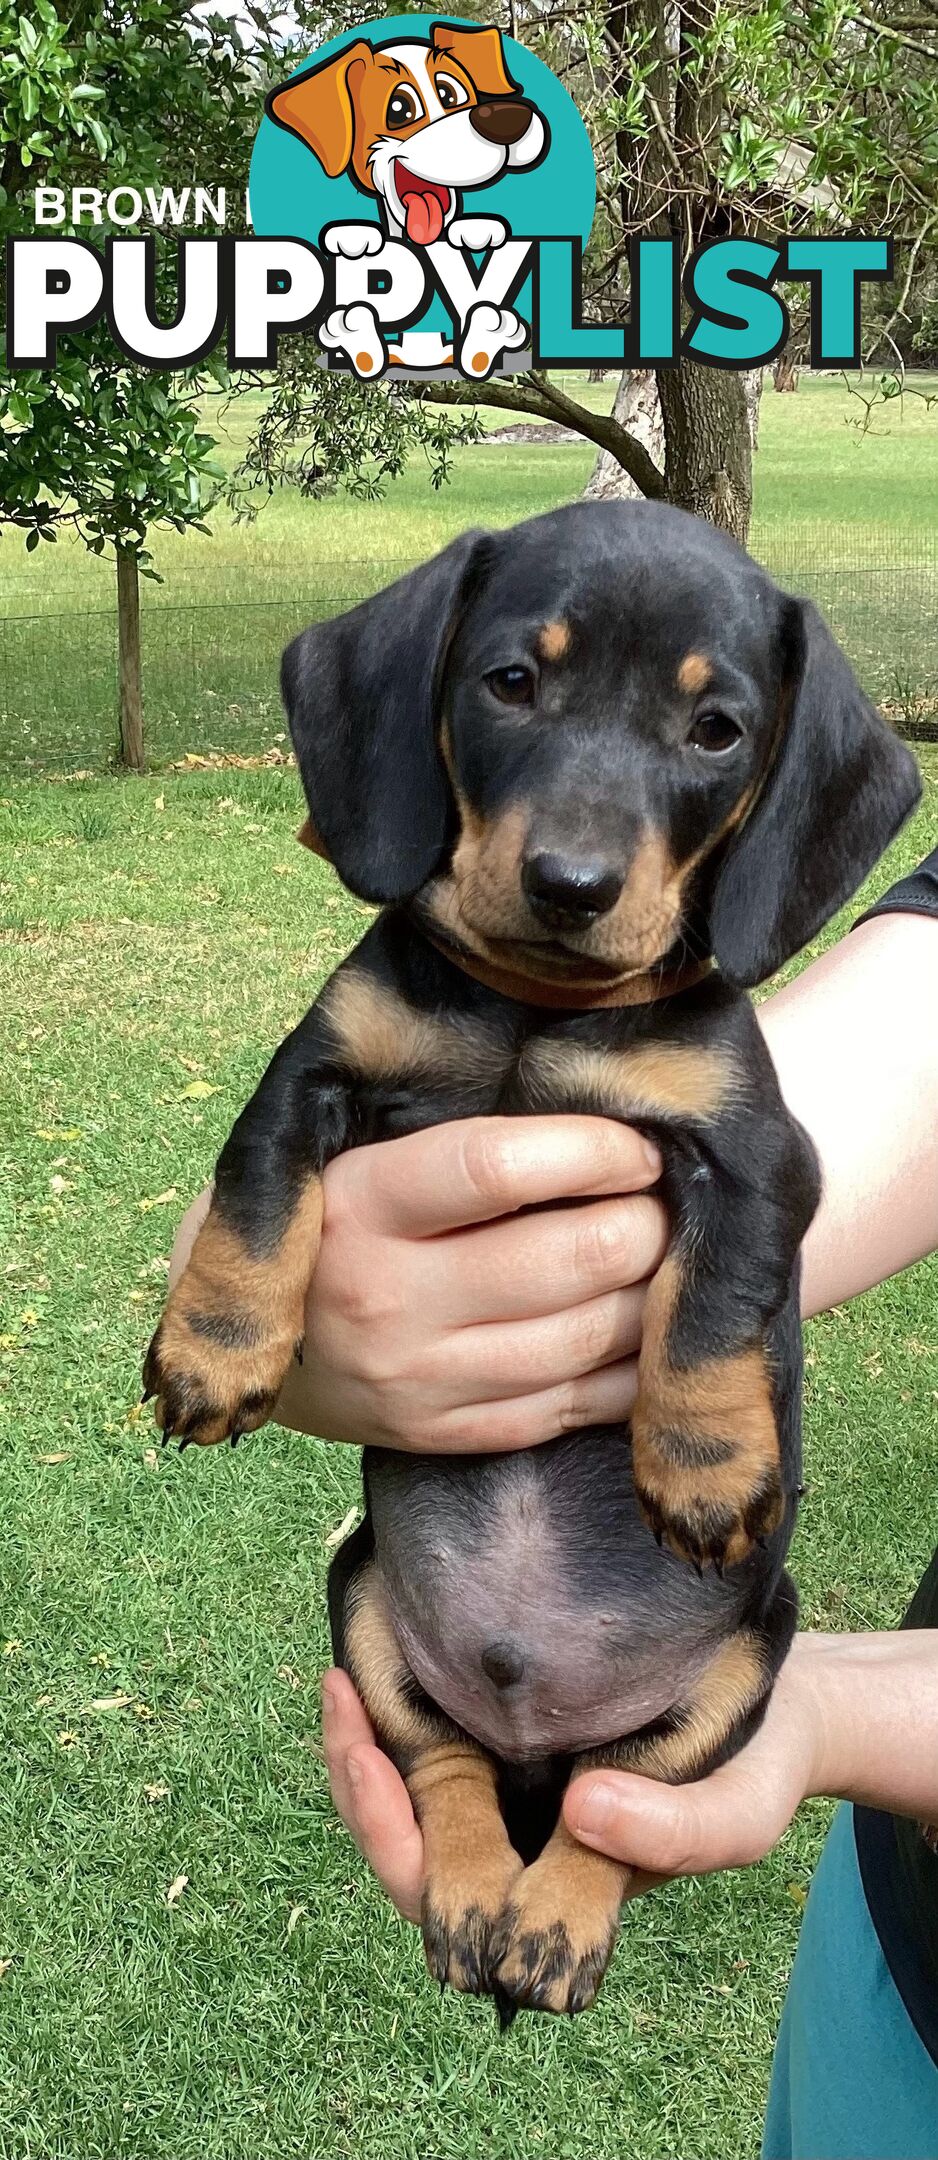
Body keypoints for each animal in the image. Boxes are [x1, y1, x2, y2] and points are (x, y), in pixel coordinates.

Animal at [142, 505, 920, 2021]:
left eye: (716, 730)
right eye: (510, 683)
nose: (571, 887)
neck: (532, 1008)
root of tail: (531, 1743)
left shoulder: (754, 1160)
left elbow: (717, 1301)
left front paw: (704, 1468)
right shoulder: (315, 1072)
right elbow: (256, 1194)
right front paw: (214, 1352)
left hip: (745, 1660)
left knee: (612, 1811)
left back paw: (552, 1914)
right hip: (365, 1602)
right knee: (443, 1768)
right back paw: (466, 1888)